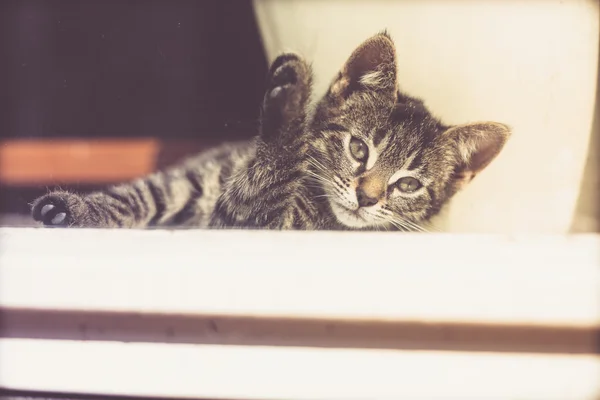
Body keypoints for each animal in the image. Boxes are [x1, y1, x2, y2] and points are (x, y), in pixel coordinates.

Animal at [30, 32, 510, 231]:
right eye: (359, 149)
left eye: (408, 184)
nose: (367, 198)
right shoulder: (197, 172)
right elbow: (143, 192)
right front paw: (79, 209)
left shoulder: (259, 221)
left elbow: (261, 184)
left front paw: (290, 106)